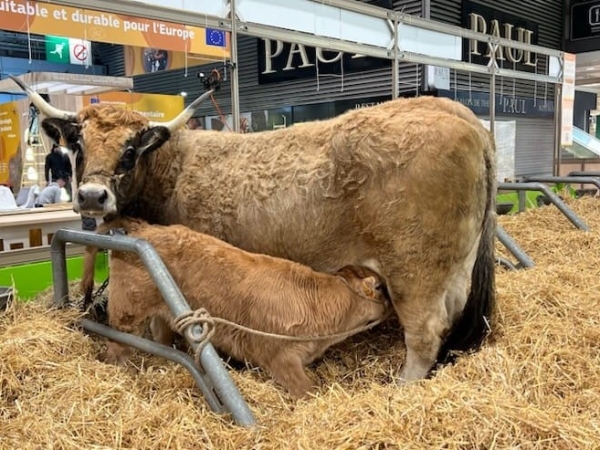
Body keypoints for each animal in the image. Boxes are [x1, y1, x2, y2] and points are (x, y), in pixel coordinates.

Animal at [82, 218, 390, 398]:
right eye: (380, 287)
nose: (390, 306)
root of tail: (145, 228)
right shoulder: (280, 358)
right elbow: (307, 390)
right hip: (127, 311)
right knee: (117, 344)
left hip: (163, 312)